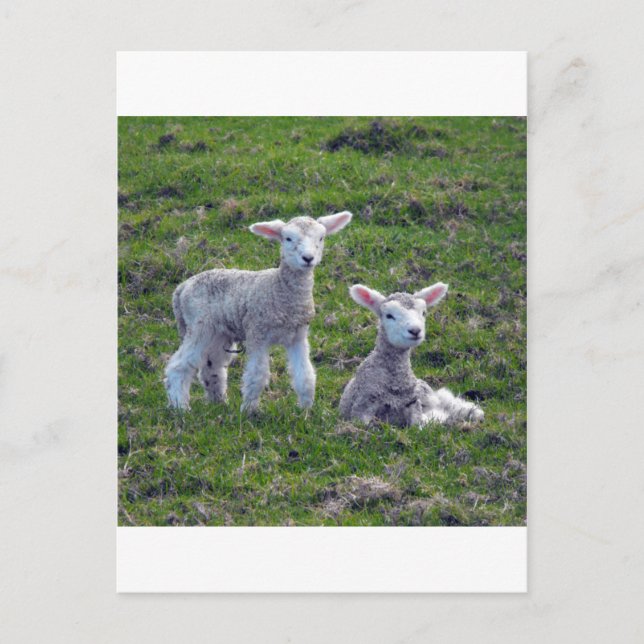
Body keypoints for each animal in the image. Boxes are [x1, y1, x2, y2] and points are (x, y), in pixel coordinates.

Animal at [164, 211, 353, 413]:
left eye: (321, 237)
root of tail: (182, 287)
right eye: (288, 238)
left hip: (219, 332)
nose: (308, 258)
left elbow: (305, 375)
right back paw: (180, 407)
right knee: (178, 366)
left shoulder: (298, 336)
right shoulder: (257, 333)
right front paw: (249, 410)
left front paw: (306, 410)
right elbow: (257, 374)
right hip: (199, 326)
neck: (279, 290)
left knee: (212, 367)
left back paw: (219, 402)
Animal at [339, 282, 484, 427]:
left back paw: (472, 412)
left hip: (425, 392)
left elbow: (418, 425)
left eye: (423, 313)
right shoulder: (362, 407)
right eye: (389, 315)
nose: (415, 330)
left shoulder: (414, 405)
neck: (395, 382)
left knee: (443, 399)